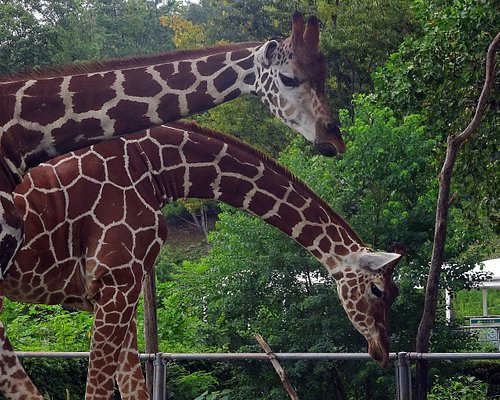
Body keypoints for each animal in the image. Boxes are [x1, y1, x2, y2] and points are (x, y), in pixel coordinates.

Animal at [0, 122, 398, 400]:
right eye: (378, 290)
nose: (381, 351)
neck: (160, 170)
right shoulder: (116, 284)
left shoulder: (117, 290)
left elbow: (132, 387)